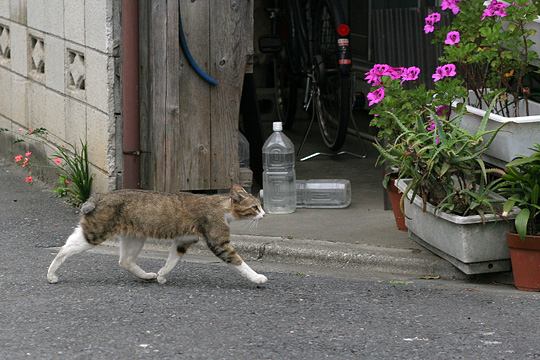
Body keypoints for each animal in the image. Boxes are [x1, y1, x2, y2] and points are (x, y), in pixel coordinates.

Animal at [47, 186, 268, 284]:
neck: (222, 208)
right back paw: (51, 274)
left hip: (134, 237)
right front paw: (257, 277)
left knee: (125, 261)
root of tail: (100, 195)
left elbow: (172, 260)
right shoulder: (219, 242)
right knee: (65, 248)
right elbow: (239, 262)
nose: (265, 215)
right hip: (96, 233)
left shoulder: (182, 241)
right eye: (255, 207)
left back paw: (147, 275)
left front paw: (162, 275)